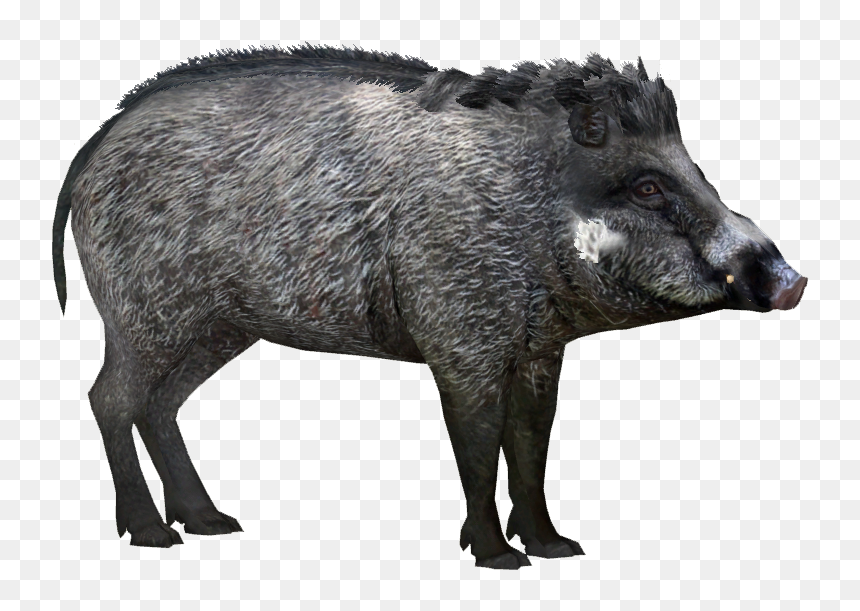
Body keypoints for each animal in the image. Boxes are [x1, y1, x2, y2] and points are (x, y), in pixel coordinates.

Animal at [53, 45, 807, 569]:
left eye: (697, 171)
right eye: (648, 186)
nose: (793, 282)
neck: (527, 209)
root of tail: (93, 150)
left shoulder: (538, 352)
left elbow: (531, 443)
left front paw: (557, 547)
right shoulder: (460, 341)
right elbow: (478, 446)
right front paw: (499, 558)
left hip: (214, 330)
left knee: (159, 406)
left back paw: (211, 521)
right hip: (145, 316)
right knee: (109, 399)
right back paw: (154, 535)